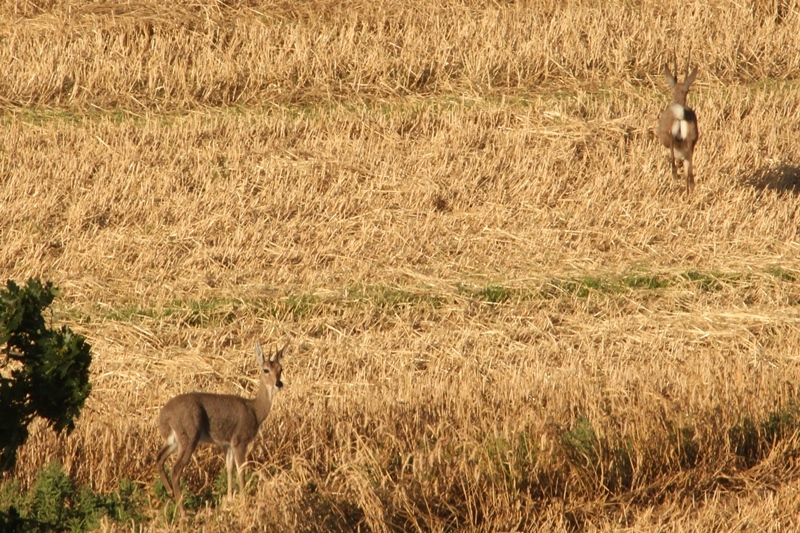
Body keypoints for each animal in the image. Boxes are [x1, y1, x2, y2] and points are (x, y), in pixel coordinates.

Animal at [155, 340, 286, 512]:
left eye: (281, 369)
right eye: (266, 370)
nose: (279, 383)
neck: (255, 411)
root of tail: (164, 415)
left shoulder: (226, 443)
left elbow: (229, 468)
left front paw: (229, 500)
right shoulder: (240, 440)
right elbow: (241, 469)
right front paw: (244, 501)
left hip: (174, 440)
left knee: (159, 458)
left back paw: (169, 491)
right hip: (189, 435)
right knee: (176, 470)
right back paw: (183, 511)